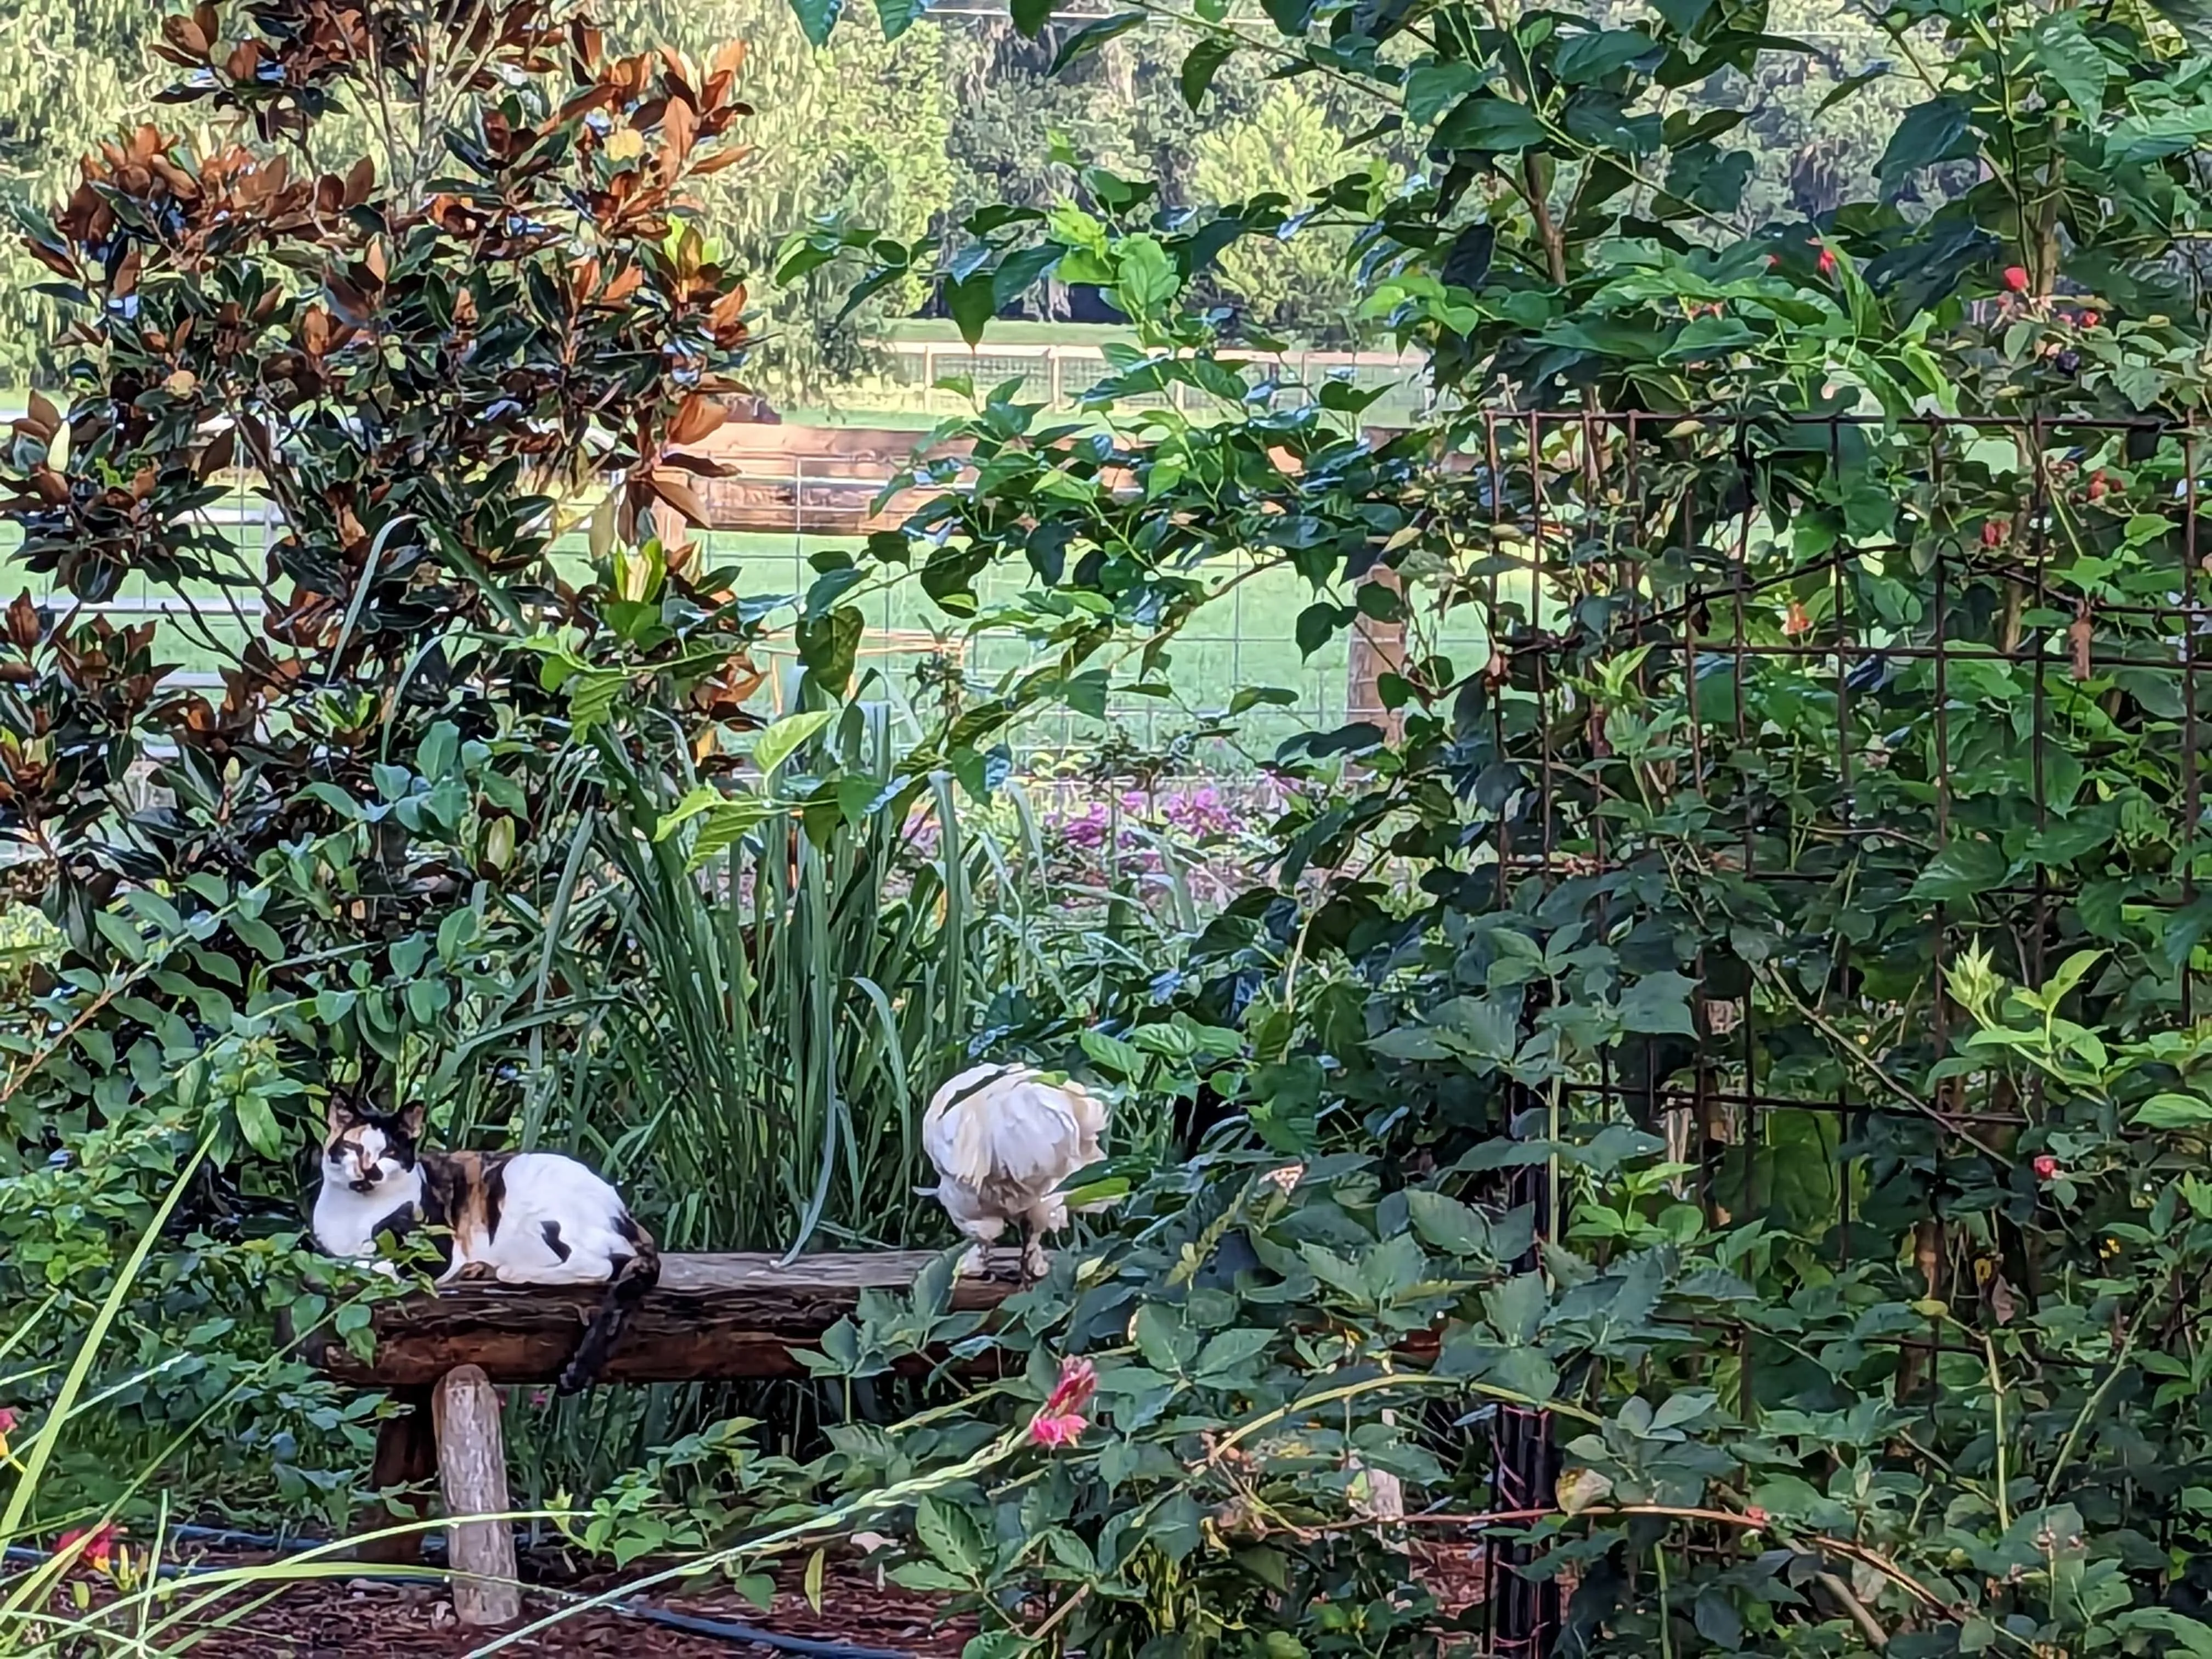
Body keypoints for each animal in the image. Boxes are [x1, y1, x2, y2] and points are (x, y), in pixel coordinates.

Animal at [312, 1106, 654, 1407]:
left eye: (389, 1153)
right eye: (354, 1147)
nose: (369, 1170)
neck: (357, 1212)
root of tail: (629, 1216)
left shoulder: (436, 1250)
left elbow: (375, 1262)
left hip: (534, 1190)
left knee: (598, 1265)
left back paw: (511, 1272)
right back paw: (482, 1269)